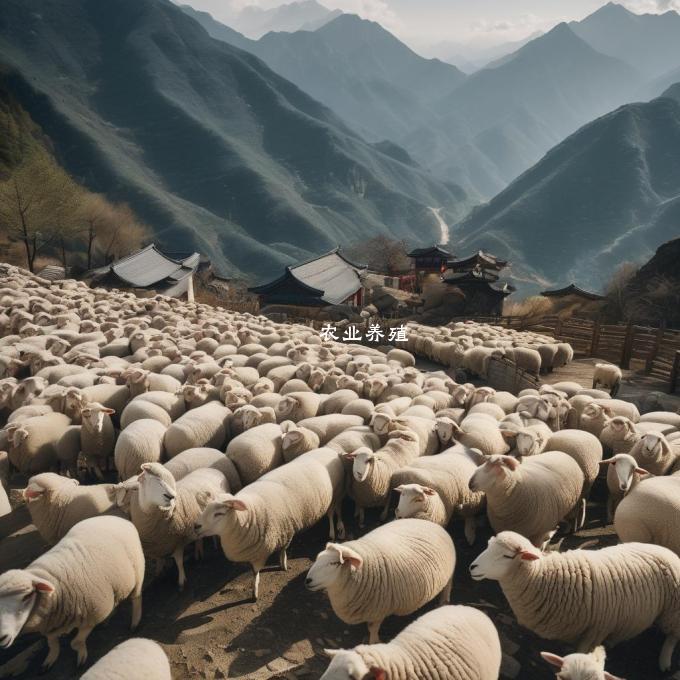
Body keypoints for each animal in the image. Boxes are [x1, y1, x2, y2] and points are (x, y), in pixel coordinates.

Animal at [0, 516, 143, 668]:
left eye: (27, 596)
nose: (2, 637)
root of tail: (115, 517)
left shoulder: (94, 614)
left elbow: (76, 642)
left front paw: (81, 657)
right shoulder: (50, 625)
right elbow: (52, 643)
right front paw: (51, 658)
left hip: (138, 570)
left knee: (136, 598)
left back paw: (135, 623)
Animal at [195, 446, 346, 600]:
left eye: (219, 514)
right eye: (204, 509)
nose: (196, 526)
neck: (250, 514)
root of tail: (329, 449)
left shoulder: (285, 532)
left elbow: (279, 554)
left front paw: (279, 568)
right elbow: (254, 571)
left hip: (337, 492)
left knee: (334, 512)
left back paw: (335, 531)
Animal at [306, 520, 454, 644]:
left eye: (334, 563)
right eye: (318, 558)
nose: (307, 580)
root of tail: (433, 524)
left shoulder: (379, 610)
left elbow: (373, 628)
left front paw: (374, 642)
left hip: (449, 572)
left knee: (448, 585)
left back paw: (444, 601)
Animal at [470, 532, 680, 676]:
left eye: (507, 556)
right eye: (488, 547)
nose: (472, 567)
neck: (544, 576)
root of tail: (666, 549)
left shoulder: (595, 631)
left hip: (672, 610)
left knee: (672, 636)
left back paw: (665, 662)